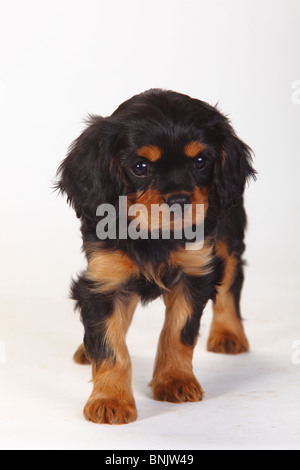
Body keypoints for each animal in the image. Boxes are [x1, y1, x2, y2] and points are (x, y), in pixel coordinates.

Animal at [56, 87, 255, 422]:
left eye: (200, 161)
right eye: (141, 167)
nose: (180, 200)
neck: (153, 234)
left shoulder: (195, 273)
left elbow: (177, 333)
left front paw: (175, 380)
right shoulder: (103, 281)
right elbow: (111, 345)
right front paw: (111, 399)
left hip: (228, 236)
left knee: (231, 279)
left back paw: (229, 333)